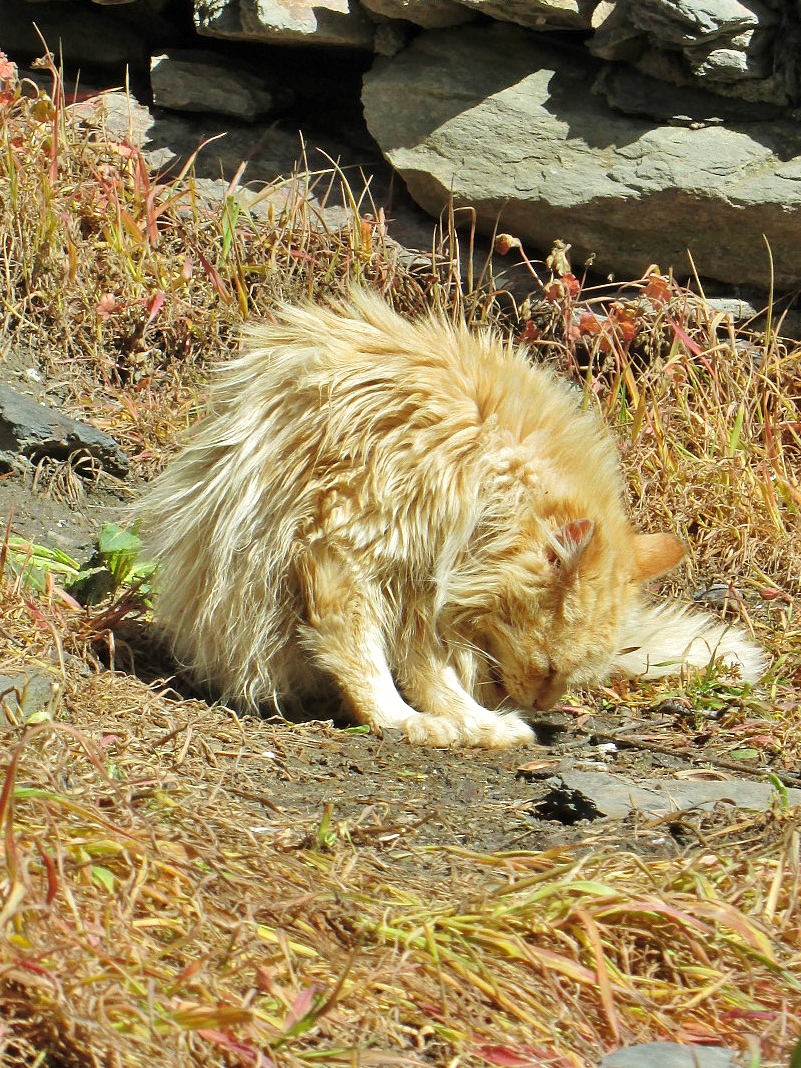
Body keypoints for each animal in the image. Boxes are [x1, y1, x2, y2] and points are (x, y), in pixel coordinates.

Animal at [135, 288, 768, 747]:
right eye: (547, 668)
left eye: (563, 680)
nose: (538, 705)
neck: (485, 459)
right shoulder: (349, 547)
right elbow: (363, 657)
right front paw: (401, 722)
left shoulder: (422, 582)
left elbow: (427, 671)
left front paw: (478, 724)